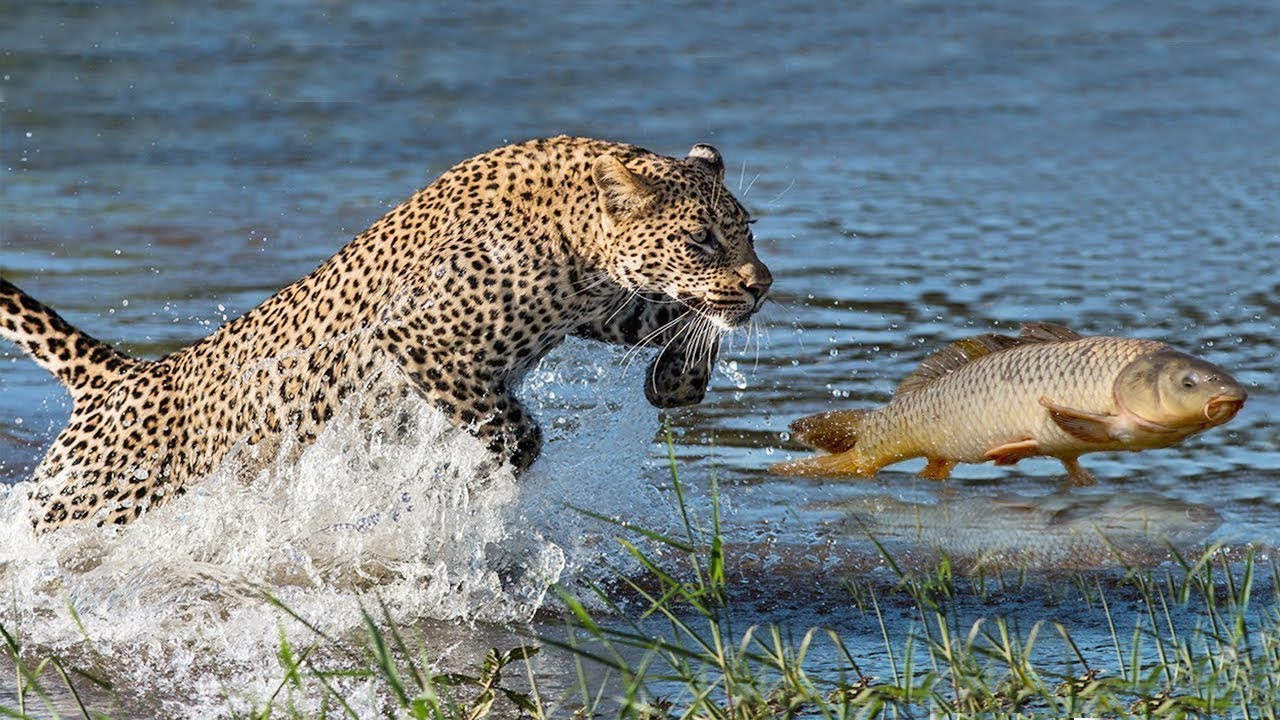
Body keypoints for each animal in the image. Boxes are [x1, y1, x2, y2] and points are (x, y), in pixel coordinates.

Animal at [0, 134, 768, 530]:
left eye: (747, 231)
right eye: (701, 240)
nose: (763, 283)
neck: (575, 230)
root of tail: (124, 376)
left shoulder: (595, 306)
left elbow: (672, 315)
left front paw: (677, 380)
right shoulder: (420, 338)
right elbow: (514, 430)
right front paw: (484, 484)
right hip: (88, 502)